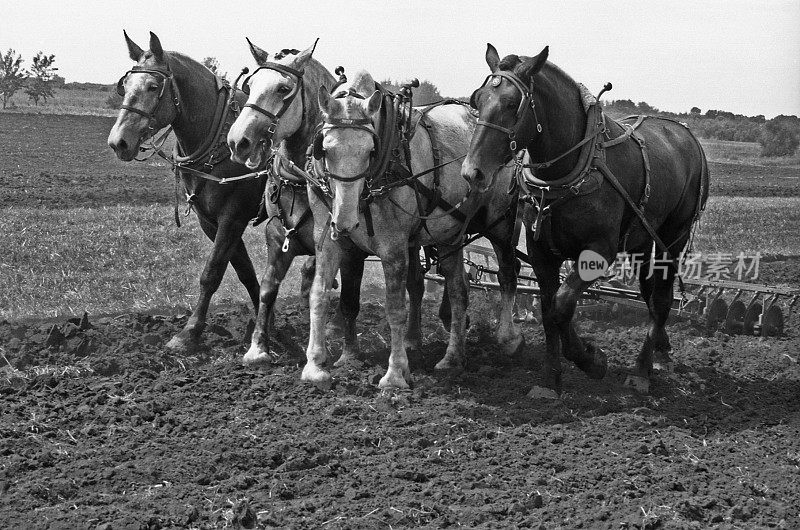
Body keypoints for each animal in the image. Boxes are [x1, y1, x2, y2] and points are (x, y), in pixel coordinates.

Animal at [108, 31, 278, 348]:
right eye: (125, 87)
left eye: (153, 86)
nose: (119, 142)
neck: (220, 138)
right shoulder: (209, 221)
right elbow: (244, 271)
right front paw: (268, 324)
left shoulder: (233, 217)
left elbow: (211, 273)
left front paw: (189, 331)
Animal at [466, 44, 708, 396]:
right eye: (478, 99)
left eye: (512, 104)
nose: (473, 172)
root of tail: (684, 133)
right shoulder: (542, 254)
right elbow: (549, 311)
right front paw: (551, 380)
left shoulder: (598, 251)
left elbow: (563, 305)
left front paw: (593, 361)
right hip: (641, 237)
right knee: (649, 292)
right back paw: (662, 352)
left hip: (673, 235)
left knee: (662, 298)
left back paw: (642, 370)